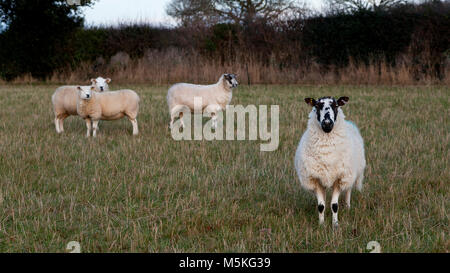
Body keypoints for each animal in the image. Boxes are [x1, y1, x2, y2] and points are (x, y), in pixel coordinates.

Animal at [296, 95, 366, 227]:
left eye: (336, 105)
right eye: (317, 105)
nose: (327, 123)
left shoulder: (339, 178)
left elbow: (334, 205)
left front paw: (335, 225)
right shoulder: (315, 179)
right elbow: (321, 206)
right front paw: (321, 224)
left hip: (350, 174)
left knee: (348, 190)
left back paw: (348, 207)